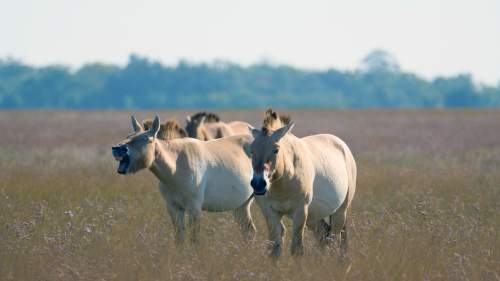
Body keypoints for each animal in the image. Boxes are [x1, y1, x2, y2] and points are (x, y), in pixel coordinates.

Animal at [111, 115, 256, 243]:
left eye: (145, 138)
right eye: (128, 136)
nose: (117, 148)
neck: (176, 168)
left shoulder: (194, 208)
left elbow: (194, 240)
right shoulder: (174, 208)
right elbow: (179, 239)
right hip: (241, 205)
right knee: (249, 232)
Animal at [247, 108, 356, 258]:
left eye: (276, 150)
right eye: (251, 151)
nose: (258, 184)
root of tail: (344, 147)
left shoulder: (300, 211)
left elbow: (297, 249)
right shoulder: (271, 213)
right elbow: (275, 247)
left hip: (340, 212)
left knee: (335, 240)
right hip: (314, 217)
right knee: (324, 236)